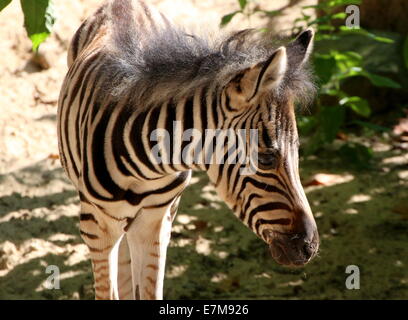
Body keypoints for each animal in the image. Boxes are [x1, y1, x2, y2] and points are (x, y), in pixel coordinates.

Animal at [57, 0, 318, 300]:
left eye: (297, 151)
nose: (310, 248)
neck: (147, 166)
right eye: (265, 159)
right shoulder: (97, 226)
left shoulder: (155, 221)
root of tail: (124, 4)